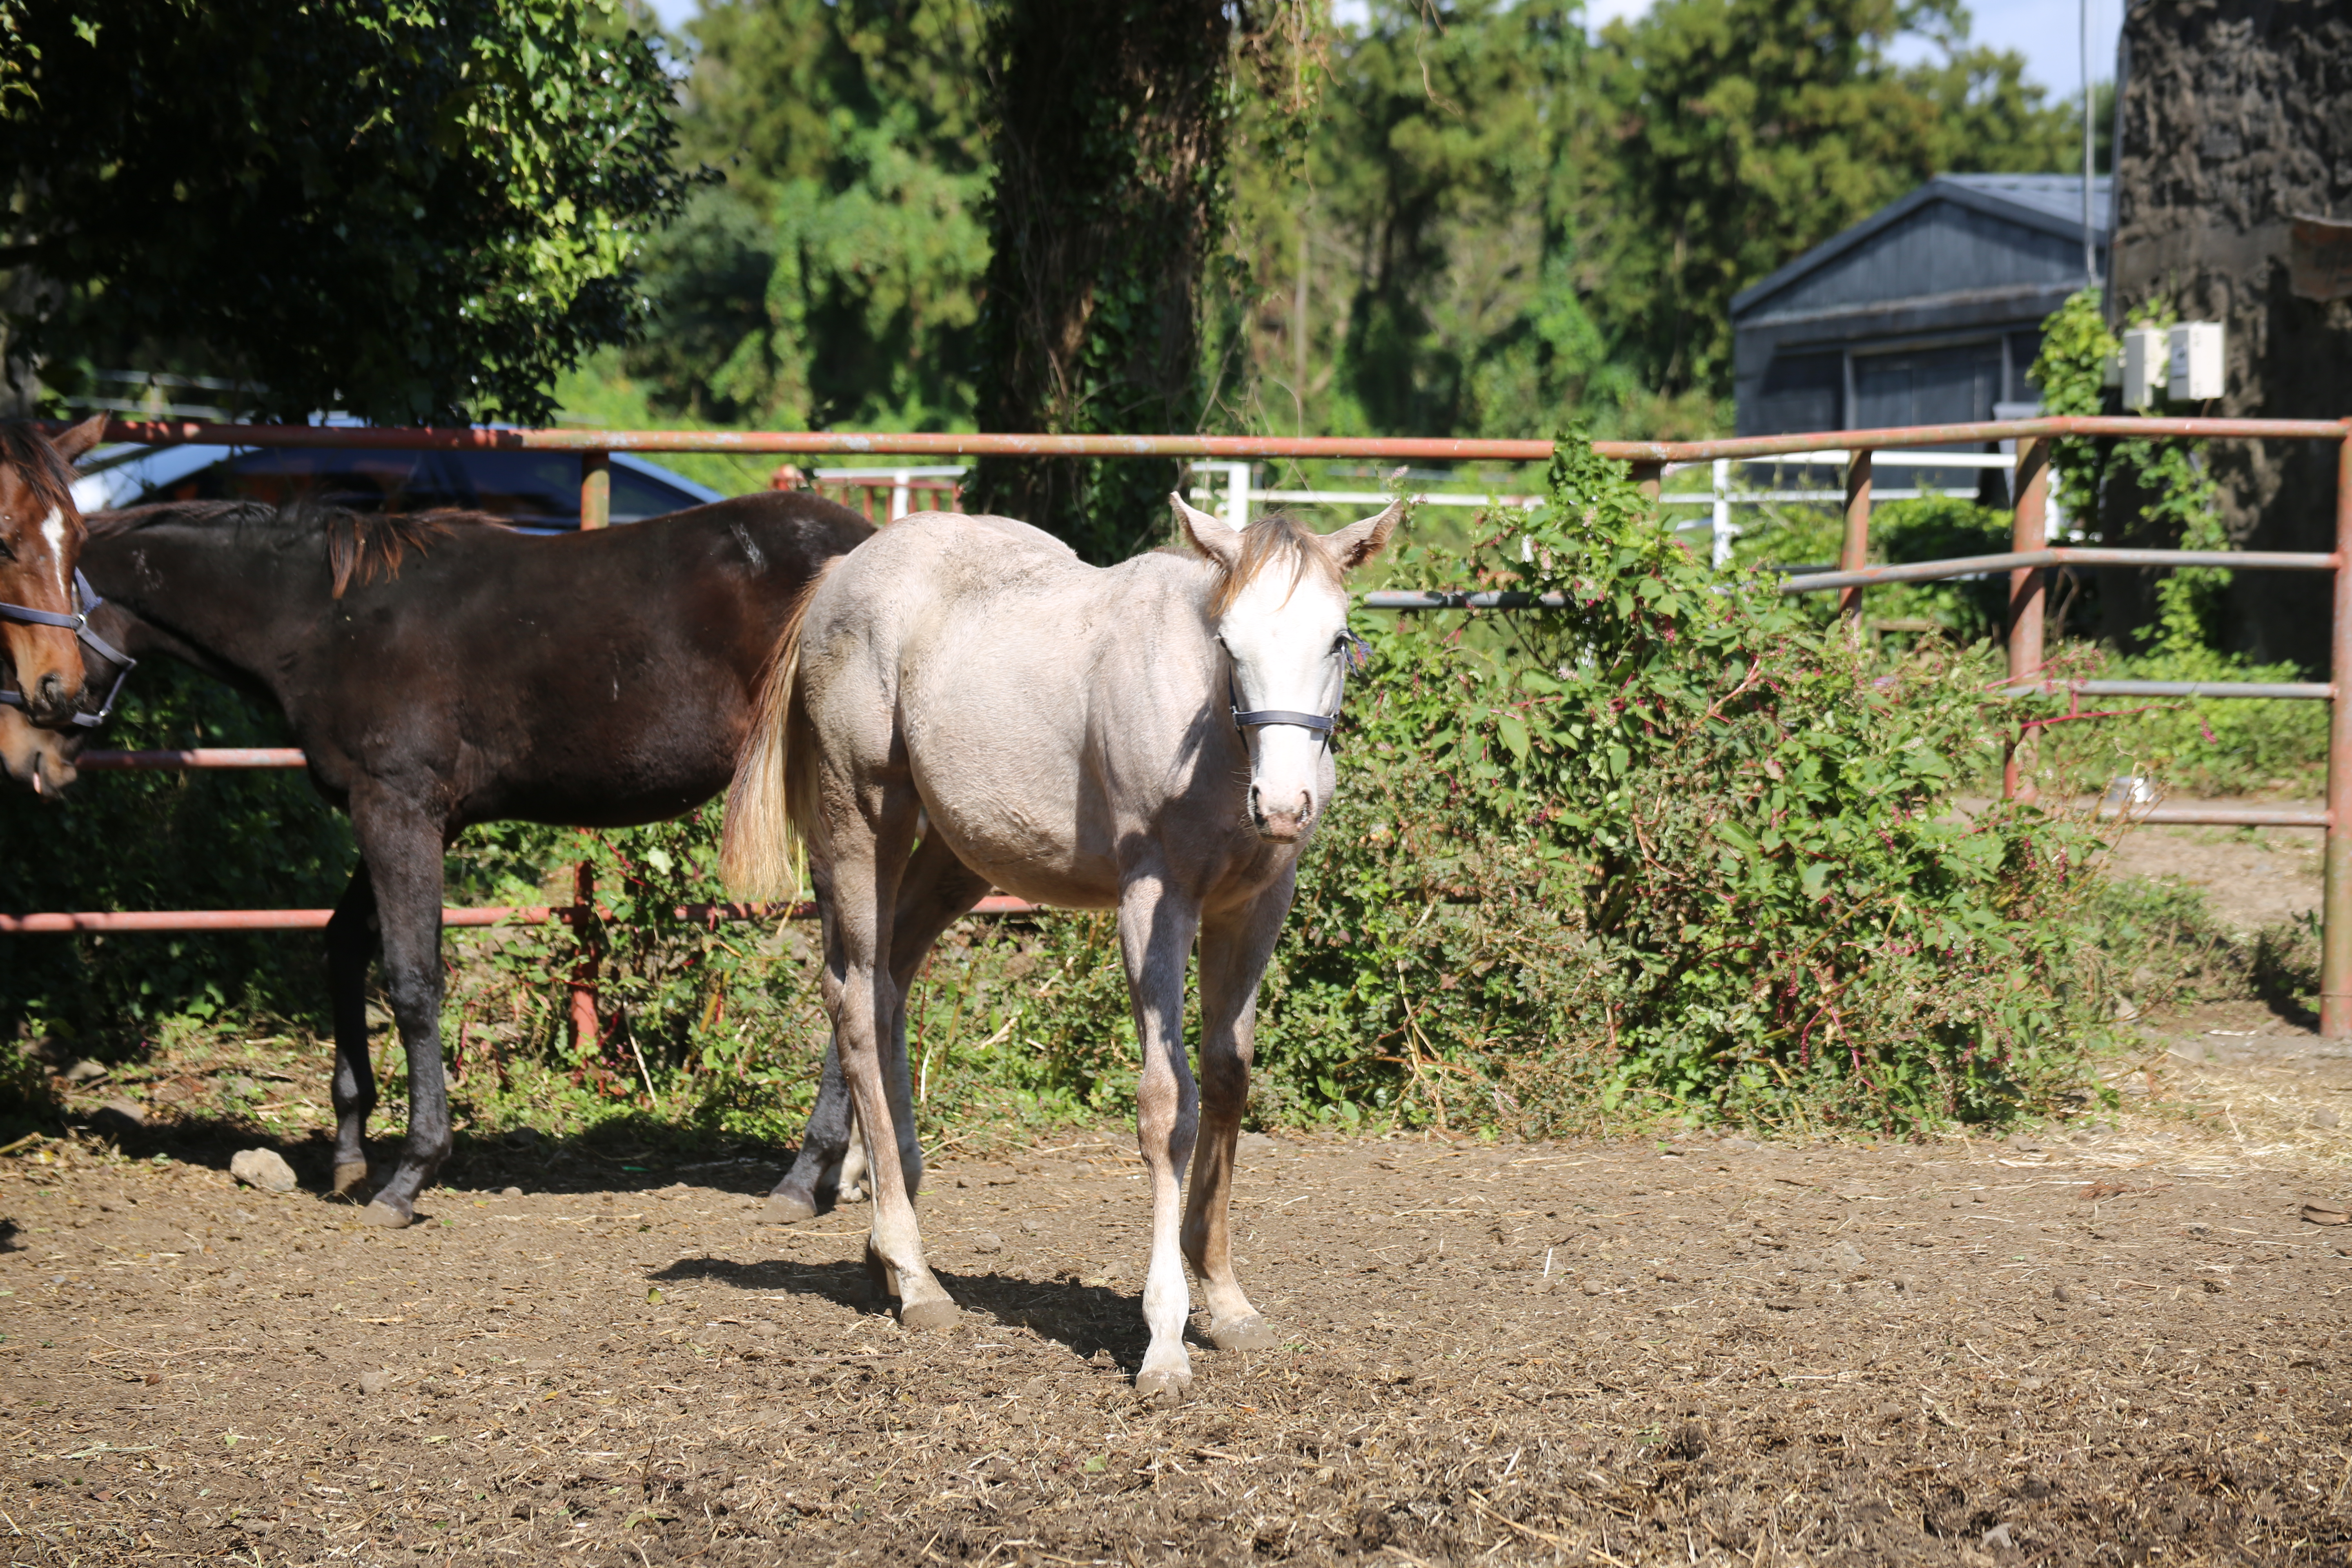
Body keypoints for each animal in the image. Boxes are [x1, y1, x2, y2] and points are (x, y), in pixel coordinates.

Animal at [11, 493, 875, 1222]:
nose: (30, 759)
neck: (325, 618)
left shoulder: (397, 808)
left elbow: (413, 978)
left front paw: (410, 1173)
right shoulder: (414, 816)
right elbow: (344, 944)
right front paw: (350, 1149)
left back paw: (808, 1175)